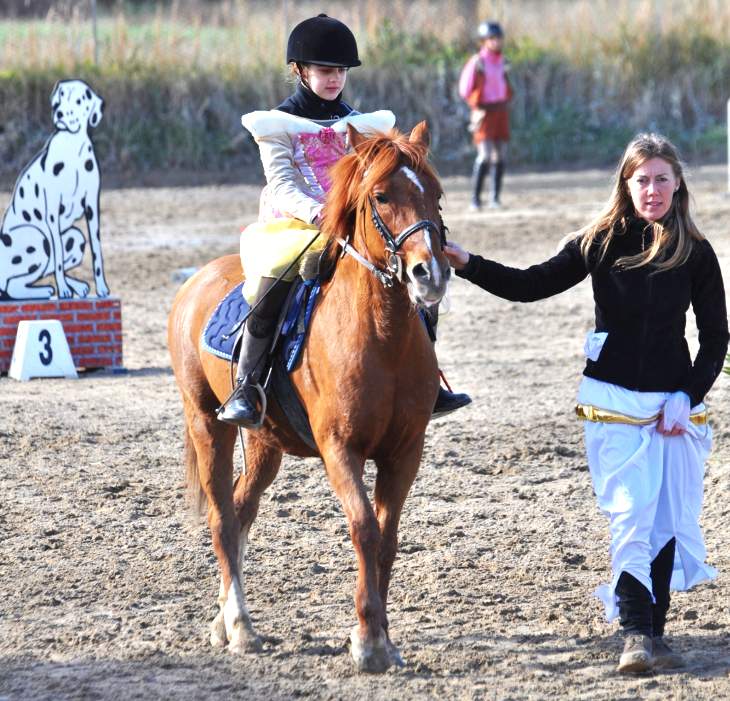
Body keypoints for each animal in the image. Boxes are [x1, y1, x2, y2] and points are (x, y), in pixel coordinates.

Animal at [167, 121, 446, 672]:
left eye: (436, 195)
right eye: (381, 196)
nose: (430, 273)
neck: (381, 337)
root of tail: (196, 282)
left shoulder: (405, 452)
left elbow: (388, 538)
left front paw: (385, 638)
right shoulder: (341, 449)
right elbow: (364, 528)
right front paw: (368, 641)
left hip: (264, 443)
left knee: (240, 508)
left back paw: (224, 621)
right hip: (207, 424)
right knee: (221, 518)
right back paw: (241, 628)